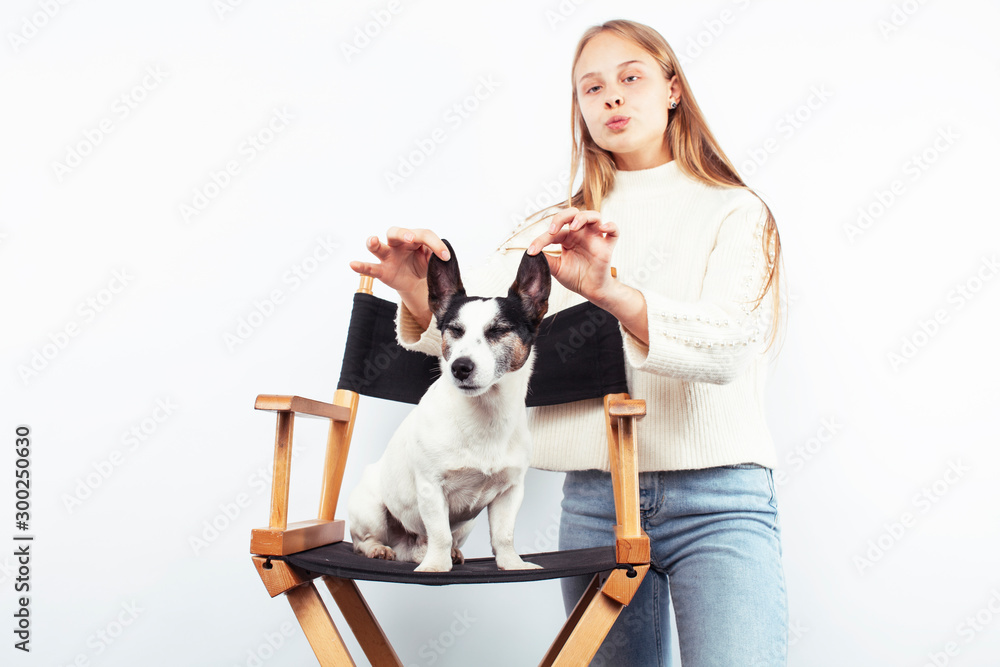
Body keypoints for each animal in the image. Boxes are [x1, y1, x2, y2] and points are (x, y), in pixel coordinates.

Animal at [348, 241, 552, 576]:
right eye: (455, 330)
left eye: (498, 331)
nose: (460, 367)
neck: (485, 414)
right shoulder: (431, 489)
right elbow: (439, 534)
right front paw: (435, 567)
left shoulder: (510, 492)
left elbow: (504, 535)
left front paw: (512, 564)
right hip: (372, 510)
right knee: (364, 541)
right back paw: (382, 549)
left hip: (464, 525)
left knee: (423, 545)